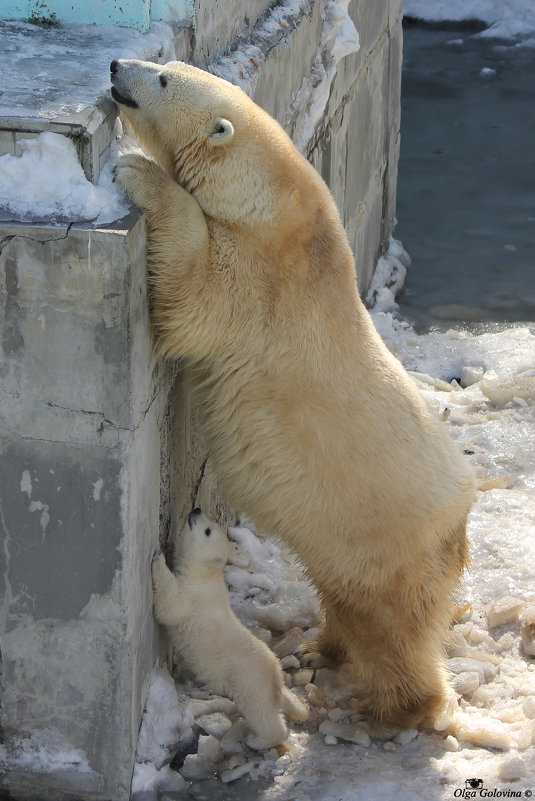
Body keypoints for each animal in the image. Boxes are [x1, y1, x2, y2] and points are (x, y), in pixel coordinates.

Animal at [111, 59, 476, 728]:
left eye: (166, 80)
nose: (119, 67)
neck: (279, 206)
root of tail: (460, 525)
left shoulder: (263, 284)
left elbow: (195, 294)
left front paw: (139, 172)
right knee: (341, 596)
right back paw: (321, 646)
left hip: (389, 546)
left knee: (393, 633)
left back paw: (399, 708)